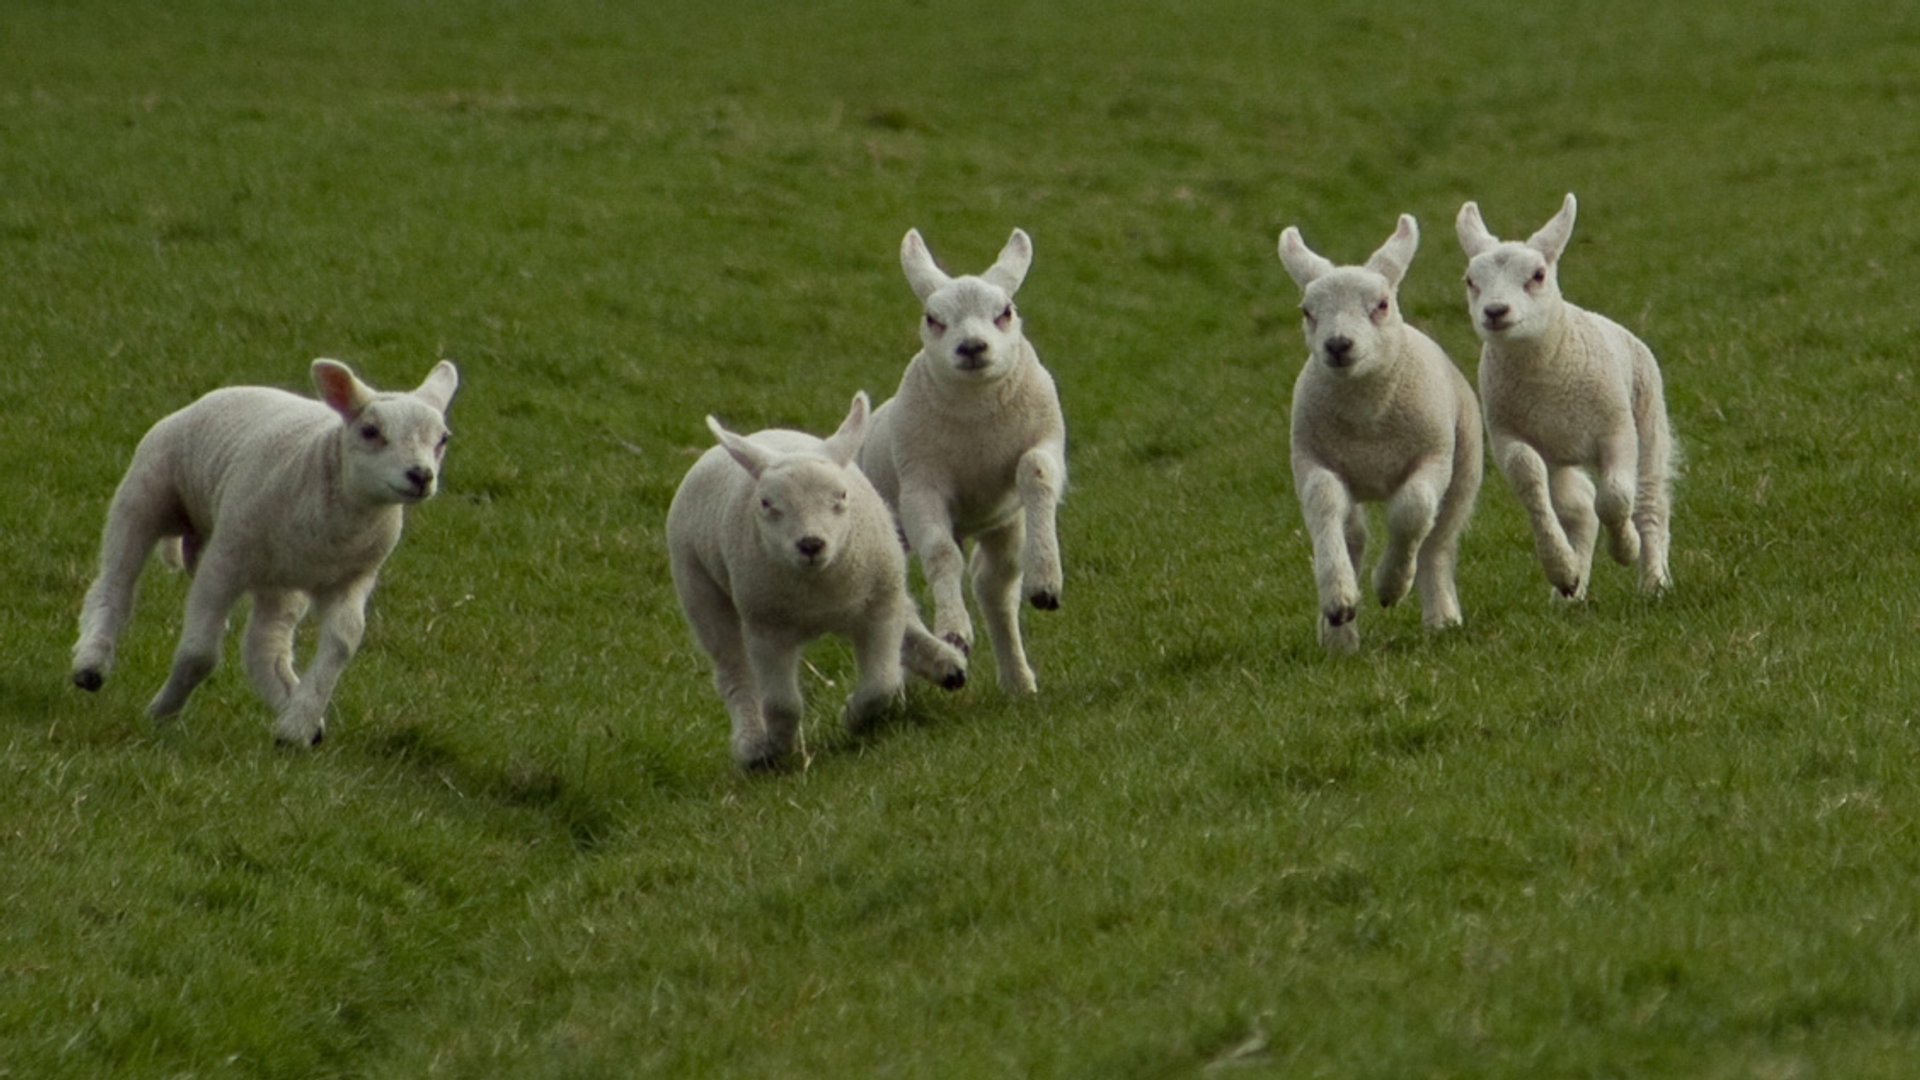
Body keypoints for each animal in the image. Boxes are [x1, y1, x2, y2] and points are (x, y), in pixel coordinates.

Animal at [70, 357, 460, 745]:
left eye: (442, 439)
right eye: (370, 431)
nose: (421, 476)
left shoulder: (353, 578)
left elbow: (343, 641)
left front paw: (298, 725)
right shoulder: (224, 561)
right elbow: (199, 653)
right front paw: (163, 711)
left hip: (282, 581)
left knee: (264, 644)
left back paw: (292, 708)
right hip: (144, 495)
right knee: (114, 584)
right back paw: (90, 664)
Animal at [668, 386, 967, 764]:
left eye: (841, 495)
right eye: (766, 503)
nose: (810, 544)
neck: (820, 591)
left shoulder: (878, 609)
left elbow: (882, 682)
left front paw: (853, 716)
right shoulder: (766, 627)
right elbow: (782, 704)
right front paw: (778, 747)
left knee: (908, 614)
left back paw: (946, 663)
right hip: (698, 586)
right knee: (733, 671)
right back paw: (751, 743)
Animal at [856, 226, 1067, 687]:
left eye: (1005, 312)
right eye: (933, 319)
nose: (971, 347)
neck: (976, 412)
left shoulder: (1046, 439)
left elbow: (1037, 471)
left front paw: (1046, 581)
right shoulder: (919, 483)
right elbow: (939, 553)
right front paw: (954, 632)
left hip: (1004, 522)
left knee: (993, 585)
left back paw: (1018, 680)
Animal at [1282, 210, 1489, 645]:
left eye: (1381, 305)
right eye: (1307, 311)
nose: (1338, 345)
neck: (1367, 420)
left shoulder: (1435, 456)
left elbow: (1413, 510)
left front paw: (1390, 585)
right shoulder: (1310, 459)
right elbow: (1324, 501)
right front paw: (1338, 598)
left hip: (1465, 471)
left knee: (1437, 544)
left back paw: (1441, 617)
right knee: (1354, 535)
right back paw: (1339, 635)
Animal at [1459, 192, 1674, 595]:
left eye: (1538, 275)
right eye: (1470, 281)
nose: (1495, 311)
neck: (1545, 377)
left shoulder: (1616, 430)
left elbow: (1616, 498)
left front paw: (1625, 549)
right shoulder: (1507, 433)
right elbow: (1529, 477)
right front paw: (1561, 569)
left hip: (1649, 416)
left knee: (1649, 501)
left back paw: (1654, 580)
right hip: (1560, 454)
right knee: (1581, 511)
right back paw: (1571, 589)